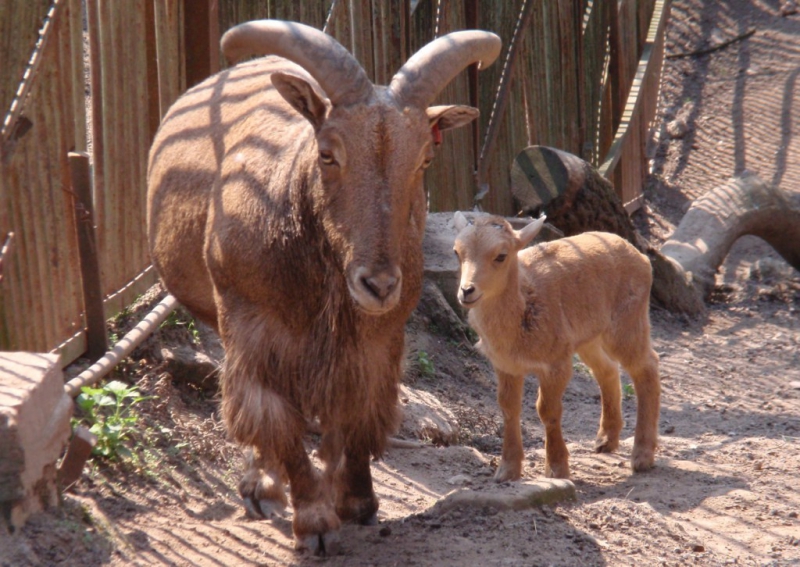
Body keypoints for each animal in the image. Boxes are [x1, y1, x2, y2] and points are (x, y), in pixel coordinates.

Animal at [147, 21, 500, 556]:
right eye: (328, 153)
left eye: (424, 158)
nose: (378, 284)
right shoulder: (253, 328)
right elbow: (276, 420)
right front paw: (313, 520)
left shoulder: (374, 342)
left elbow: (355, 416)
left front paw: (357, 501)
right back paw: (263, 487)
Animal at [454, 213, 660, 484]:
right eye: (457, 252)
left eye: (501, 255)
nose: (467, 290)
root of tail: (641, 257)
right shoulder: (505, 364)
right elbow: (508, 408)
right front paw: (507, 471)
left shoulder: (555, 362)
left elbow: (547, 410)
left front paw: (556, 469)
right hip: (588, 337)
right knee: (607, 370)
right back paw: (606, 440)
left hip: (627, 321)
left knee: (646, 367)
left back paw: (642, 456)